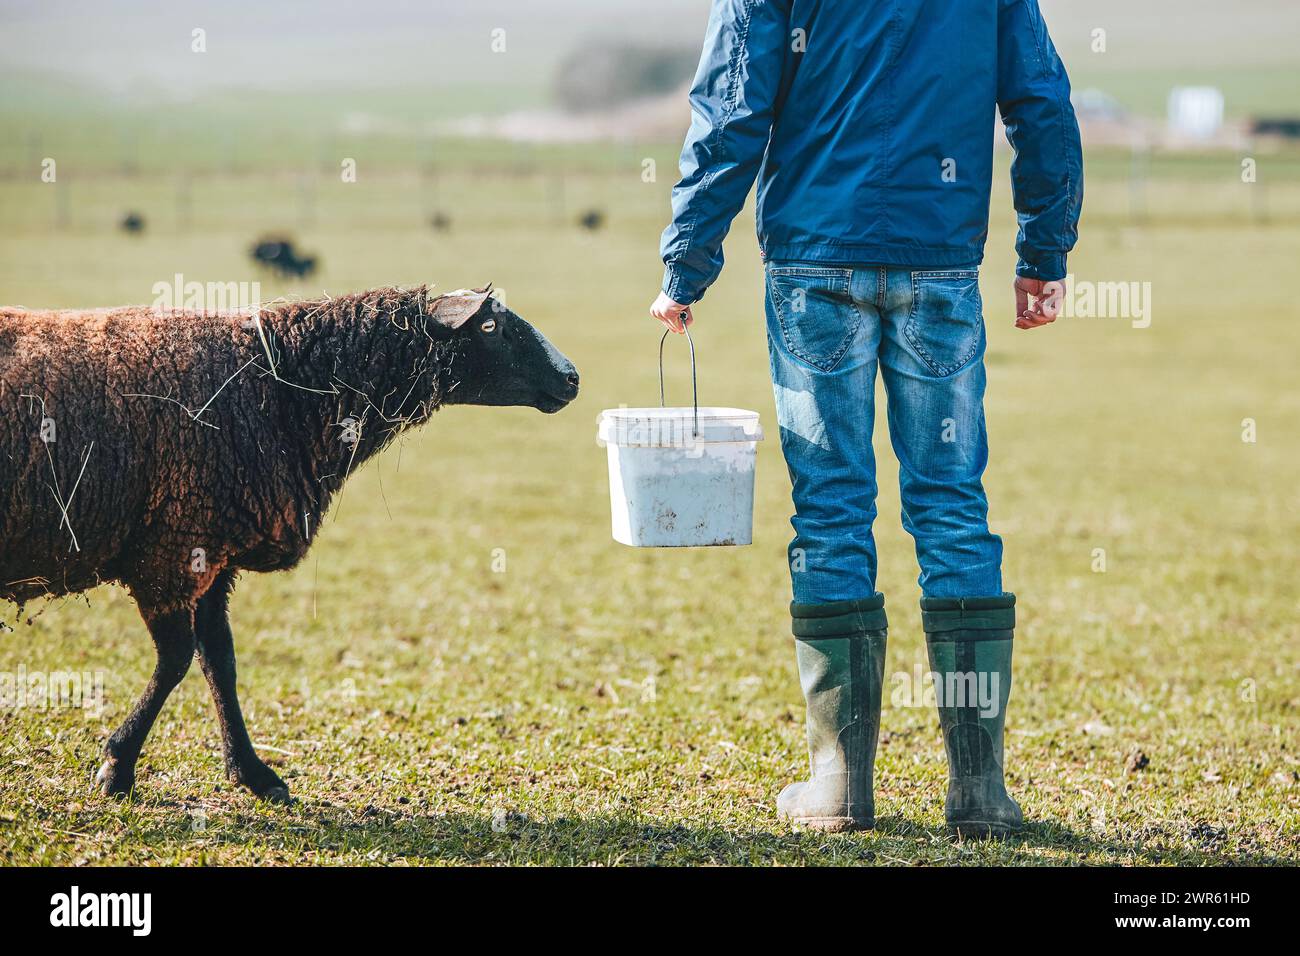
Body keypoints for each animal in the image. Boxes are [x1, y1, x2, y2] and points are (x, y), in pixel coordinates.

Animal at [0, 287, 579, 806]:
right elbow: (177, 660)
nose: (572, 377)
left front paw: (253, 774)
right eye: (491, 327)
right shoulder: (172, 549)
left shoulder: (210, 548)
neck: (283, 387)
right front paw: (117, 767)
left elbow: (220, 660)